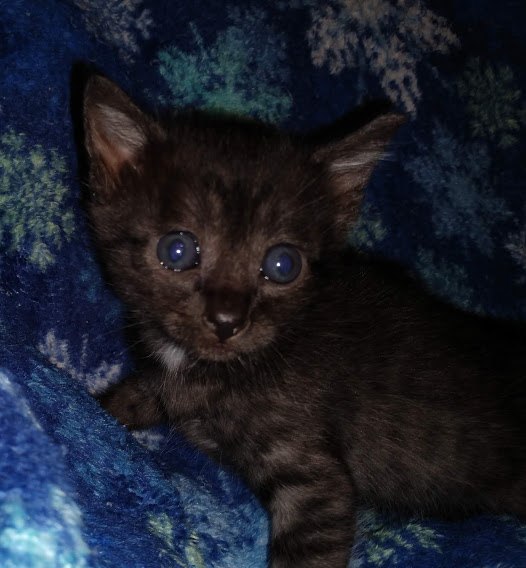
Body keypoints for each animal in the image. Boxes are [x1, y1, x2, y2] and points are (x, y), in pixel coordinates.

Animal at [83, 74, 526, 568]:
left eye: (282, 265)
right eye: (176, 251)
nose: (226, 321)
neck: (201, 366)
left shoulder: (315, 482)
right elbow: (135, 395)